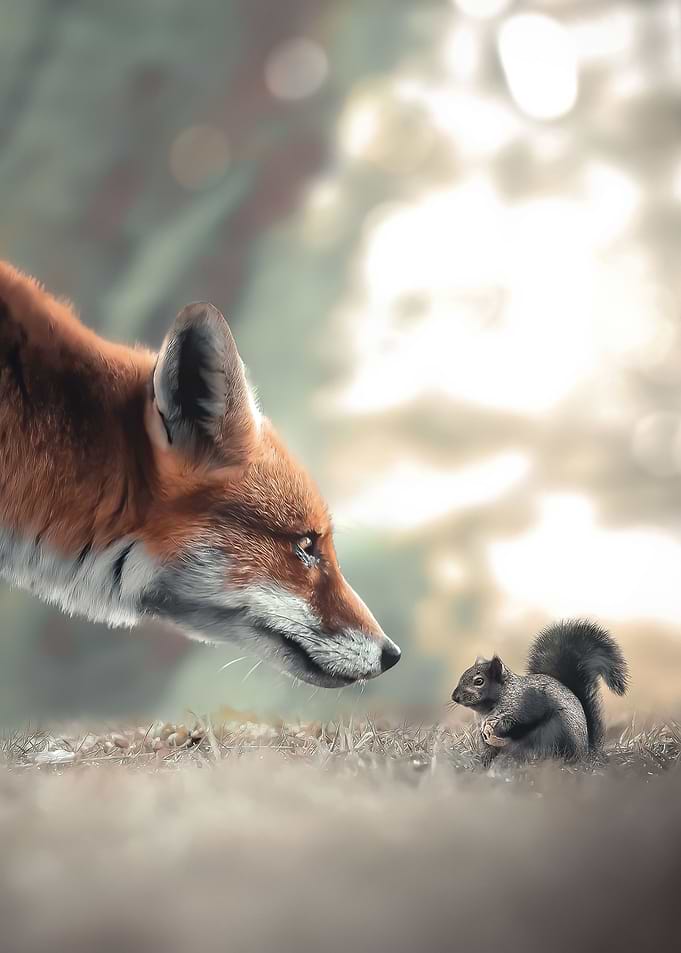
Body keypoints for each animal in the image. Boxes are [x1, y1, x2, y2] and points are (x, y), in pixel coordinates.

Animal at [451, 619, 629, 763]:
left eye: (479, 681)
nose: (455, 697)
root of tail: (585, 752)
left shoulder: (528, 704)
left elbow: (521, 722)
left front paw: (500, 726)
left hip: (556, 730)